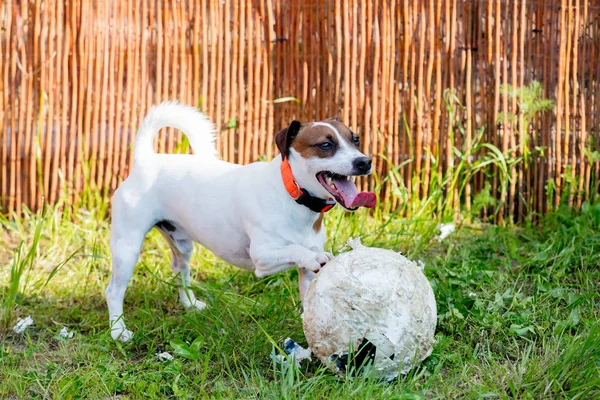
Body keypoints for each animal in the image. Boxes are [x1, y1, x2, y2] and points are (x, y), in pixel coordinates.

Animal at [104, 102, 376, 340]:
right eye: (326, 145)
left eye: (355, 140)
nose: (364, 161)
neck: (292, 193)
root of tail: (145, 161)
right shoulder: (262, 258)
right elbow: (295, 249)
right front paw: (312, 255)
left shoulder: (307, 274)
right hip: (127, 248)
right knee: (113, 291)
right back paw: (118, 332)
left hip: (181, 245)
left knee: (182, 274)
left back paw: (191, 304)